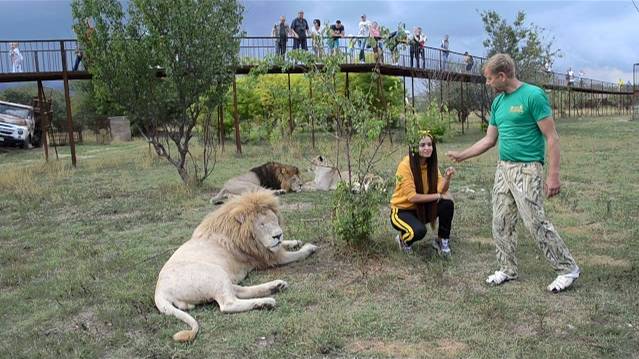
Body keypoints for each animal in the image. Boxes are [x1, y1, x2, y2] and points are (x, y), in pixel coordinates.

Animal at [153, 190, 318, 342]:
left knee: (239, 291)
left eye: (275, 220)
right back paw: (266, 302)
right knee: (228, 304)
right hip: (215, 272)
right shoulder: (268, 257)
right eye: (262, 224)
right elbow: (296, 254)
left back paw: (275, 287)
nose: (278, 235)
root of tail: (159, 292)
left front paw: (295, 241)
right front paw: (308, 248)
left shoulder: (266, 250)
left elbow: (284, 245)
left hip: (221, 277)